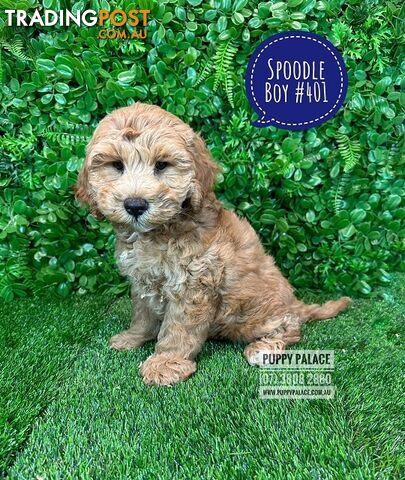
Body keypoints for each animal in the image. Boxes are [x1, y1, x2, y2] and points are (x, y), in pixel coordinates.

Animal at [76, 104, 350, 386]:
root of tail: (297, 305)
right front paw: (133, 337)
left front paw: (165, 363)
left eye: (162, 165)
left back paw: (263, 347)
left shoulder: (193, 285)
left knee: (291, 329)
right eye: (116, 165)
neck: (158, 232)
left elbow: (178, 330)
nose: (135, 205)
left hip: (260, 316)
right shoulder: (142, 281)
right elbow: (143, 314)